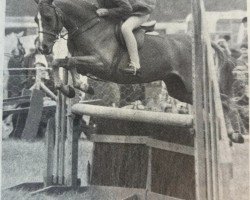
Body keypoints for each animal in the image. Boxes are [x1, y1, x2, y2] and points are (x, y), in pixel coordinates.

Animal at [32, 0, 244, 144]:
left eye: (48, 18)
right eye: (36, 20)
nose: (43, 48)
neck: (88, 26)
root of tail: (202, 43)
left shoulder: (102, 64)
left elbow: (67, 61)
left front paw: (72, 86)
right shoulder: (84, 61)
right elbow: (64, 62)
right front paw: (72, 87)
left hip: (192, 85)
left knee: (226, 101)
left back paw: (235, 134)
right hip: (179, 89)